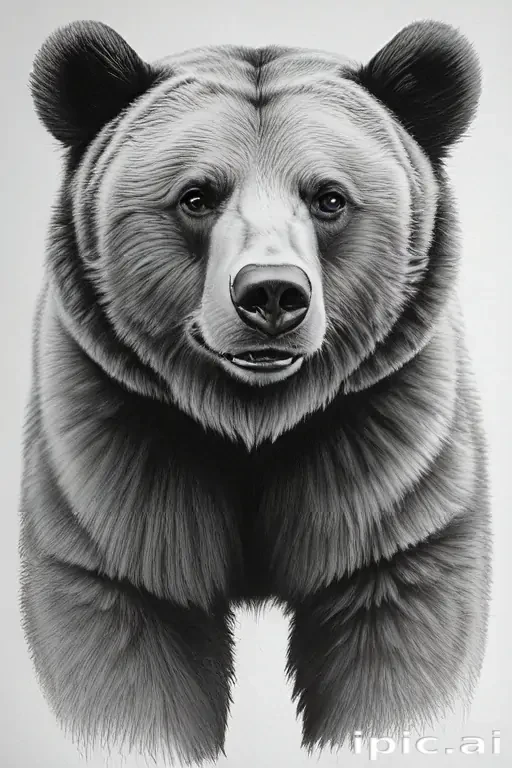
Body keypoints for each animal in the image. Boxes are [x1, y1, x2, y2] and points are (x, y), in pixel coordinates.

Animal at [19, 17, 491, 766]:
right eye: (196, 195)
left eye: (329, 197)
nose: (271, 294)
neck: (252, 417)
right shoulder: (116, 440)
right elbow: (126, 613)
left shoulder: (388, 440)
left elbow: (396, 603)